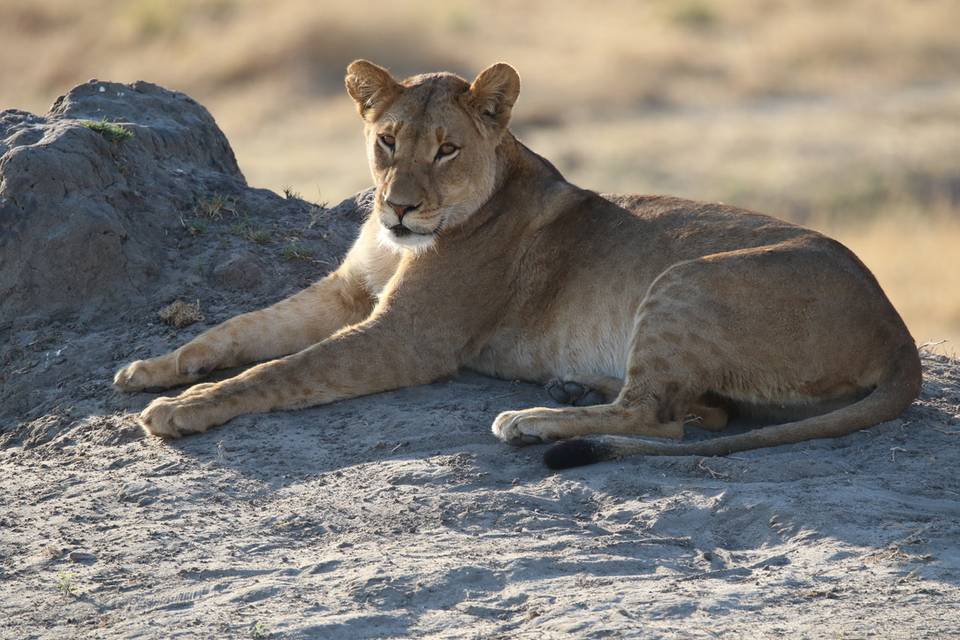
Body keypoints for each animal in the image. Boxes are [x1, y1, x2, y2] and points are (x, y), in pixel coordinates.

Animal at [113, 60, 921, 469]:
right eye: (386, 139)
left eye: (447, 148)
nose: (399, 209)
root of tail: (897, 331)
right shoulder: (347, 292)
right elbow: (238, 330)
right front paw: (152, 369)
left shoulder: (407, 338)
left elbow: (280, 370)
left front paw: (183, 409)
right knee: (700, 411)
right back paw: (567, 390)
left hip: (686, 281)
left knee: (660, 421)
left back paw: (530, 422)